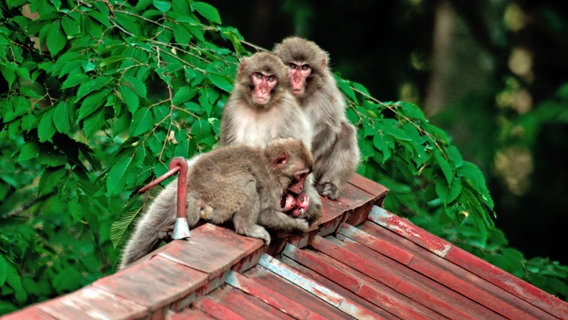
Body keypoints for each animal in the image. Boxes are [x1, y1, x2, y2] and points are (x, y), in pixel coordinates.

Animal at [120, 139, 312, 268]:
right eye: (301, 176)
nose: (301, 187)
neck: (271, 165)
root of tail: (193, 191)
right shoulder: (271, 182)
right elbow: (265, 213)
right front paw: (300, 225)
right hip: (222, 197)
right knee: (248, 183)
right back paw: (246, 228)